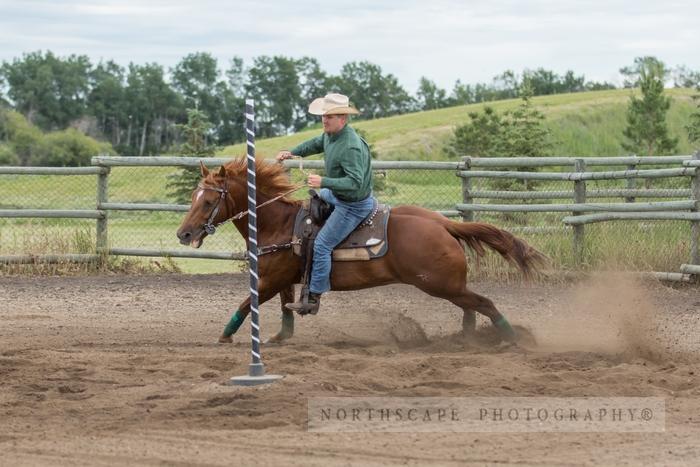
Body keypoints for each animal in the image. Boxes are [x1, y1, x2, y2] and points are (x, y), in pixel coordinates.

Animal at [176, 159, 548, 346]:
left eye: (208, 202)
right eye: (193, 197)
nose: (183, 233)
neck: (279, 223)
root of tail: (444, 224)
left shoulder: (271, 279)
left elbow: (245, 304)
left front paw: (224, 337)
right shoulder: (283, 278)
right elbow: (285, 309)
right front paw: (281, 337)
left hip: (440, 284)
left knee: (485, 304)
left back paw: (512, 340)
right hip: (448, 286)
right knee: (471, 308)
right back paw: (467, 340)